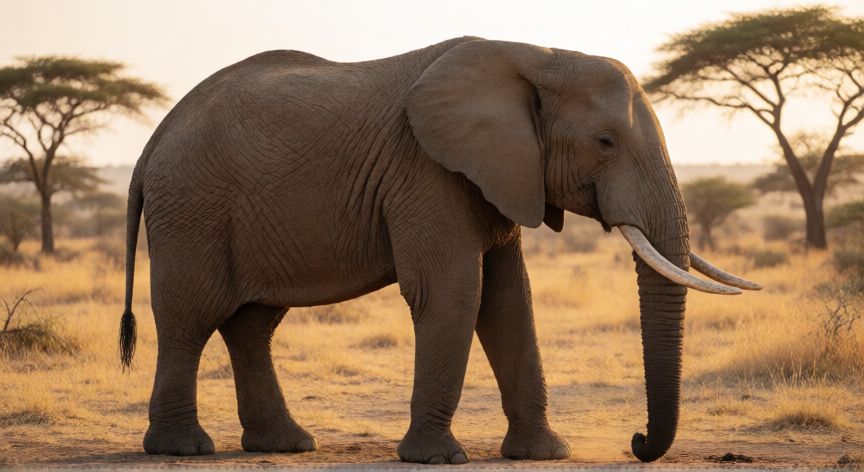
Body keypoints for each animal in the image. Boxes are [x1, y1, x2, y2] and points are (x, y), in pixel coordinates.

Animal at [119, 37, 761, 463]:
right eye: (604, 142)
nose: (637, 441)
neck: (535, 56)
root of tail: (152, 141)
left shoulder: (498, 173)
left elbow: (509, 301)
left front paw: (543, 454)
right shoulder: (425, 170)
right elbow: (454, 292)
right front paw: (436, 458)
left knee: (252, 324)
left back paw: (286, 445)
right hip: (193, 206)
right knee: (190, 317)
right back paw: (183, 448)